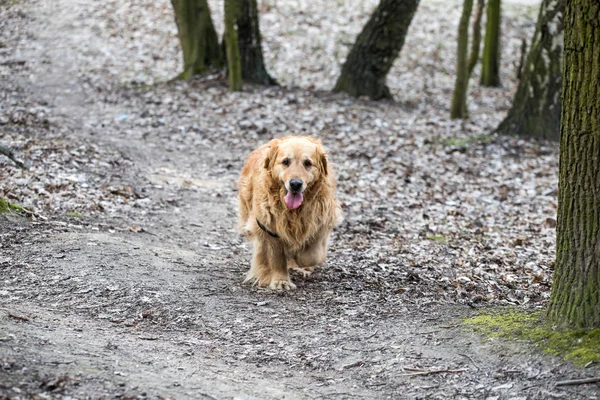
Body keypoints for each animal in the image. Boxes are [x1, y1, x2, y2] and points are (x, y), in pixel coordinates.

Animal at [238, 136, 342, 290]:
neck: (293, 211)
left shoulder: (322, 223)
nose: (295, 184)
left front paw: (300, 261)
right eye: (286, 162)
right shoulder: (268, 228)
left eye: (307, 163)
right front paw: (281, 281)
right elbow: (276, 258)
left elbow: (311, 255)